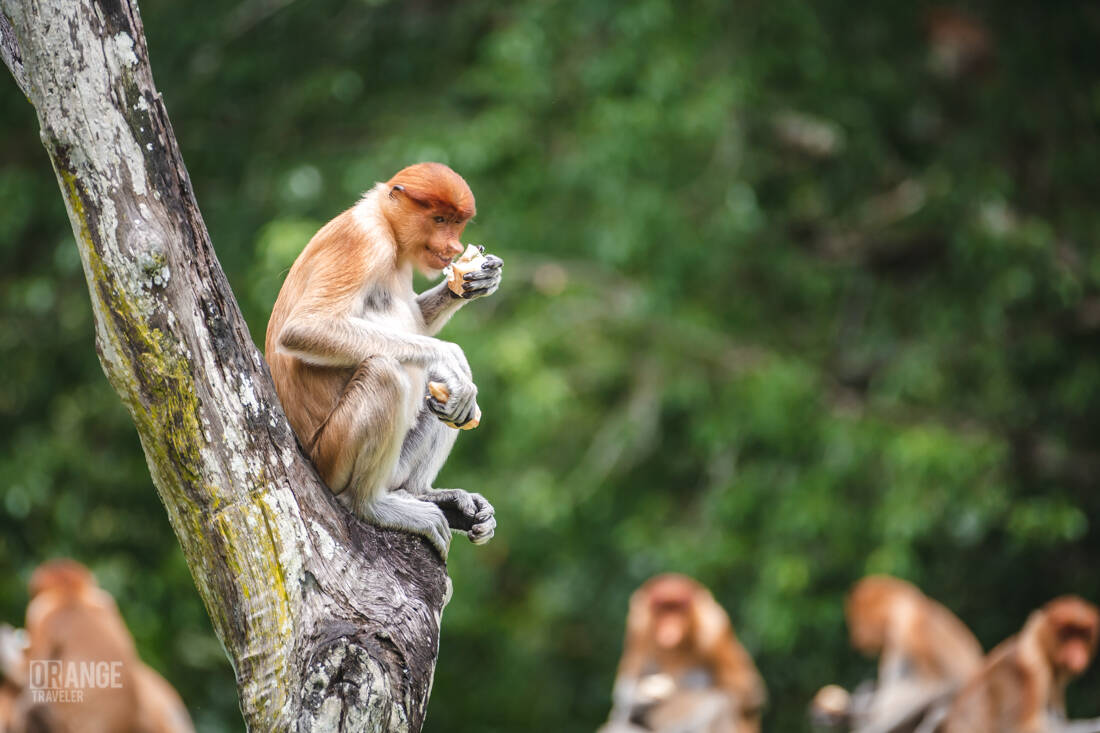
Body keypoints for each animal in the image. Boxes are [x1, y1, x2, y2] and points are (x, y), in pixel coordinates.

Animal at [265, 162, 503, 559]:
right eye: (439, 219)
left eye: (457, 222)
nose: (454, 247)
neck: (386, 223)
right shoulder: (364, 242)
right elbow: (305, 327)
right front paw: (449, 355)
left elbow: (419, 324)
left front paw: (477, 279)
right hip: (331, 456)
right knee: (386, 372)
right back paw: (372, 504)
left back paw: (430, 494)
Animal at [603, 574, 767, 733]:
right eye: (662, 609)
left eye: (678, 609)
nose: (670, 625)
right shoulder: (637, 629)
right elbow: (624, 689)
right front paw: (639, 702)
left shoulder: (715, 629)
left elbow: (746, 695)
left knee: (721, 706)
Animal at [941, 595, 1100, 733]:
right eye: (1067, 633)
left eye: (1083, 635)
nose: (1076, 653)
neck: (1040, 646)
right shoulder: (1027, 669)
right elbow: (1020, 728)